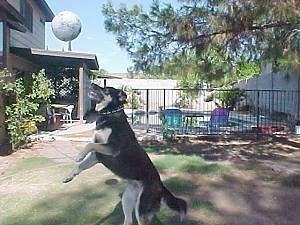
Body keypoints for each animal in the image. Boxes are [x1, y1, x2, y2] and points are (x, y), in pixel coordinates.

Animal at [62, 83, 186, 225]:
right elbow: (81, 165)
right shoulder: (97, 156)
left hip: (142, 209)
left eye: (106, 90)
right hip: (127, 200)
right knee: (129, 220)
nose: (92, 84)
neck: (110, 114)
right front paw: (69, 176)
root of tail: (160, 185)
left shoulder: (112, 148)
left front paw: (79, 156)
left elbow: (88, 145)